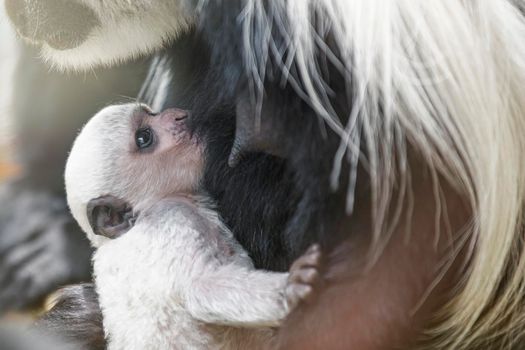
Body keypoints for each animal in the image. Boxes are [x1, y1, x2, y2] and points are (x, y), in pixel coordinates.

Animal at [64, 104, 322, 350]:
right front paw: (289, 289)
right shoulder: (171, 220)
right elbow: (201, 288)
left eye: (151, 113)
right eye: (144, 137)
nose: (177, 116)